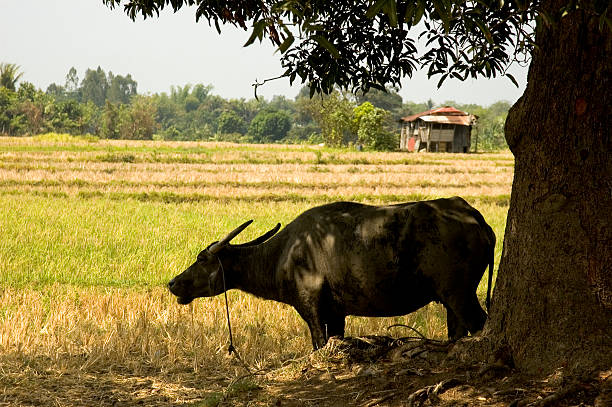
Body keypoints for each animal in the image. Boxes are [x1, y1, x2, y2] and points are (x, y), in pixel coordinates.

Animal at [170, 198, 494, 350]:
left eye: (201, 258)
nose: (173, 283)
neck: (284, 253)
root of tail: (472, 215)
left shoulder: (313, 310)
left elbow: (318, 345)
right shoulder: (337, 314)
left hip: (461, 295)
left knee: (479, 325)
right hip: (451, 301)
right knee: (457, 330)